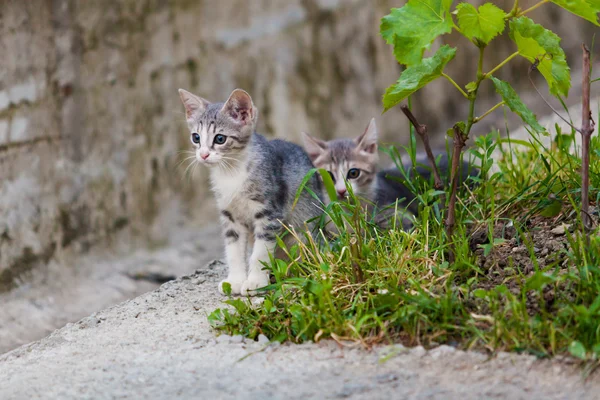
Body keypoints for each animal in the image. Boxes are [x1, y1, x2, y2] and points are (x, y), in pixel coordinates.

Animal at [179, 88, 324, 294]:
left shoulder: (270, 214)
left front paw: (255, 281)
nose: (204, 154)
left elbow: (260, 252)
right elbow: (233, 251)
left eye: (220, 139)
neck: (231, 174)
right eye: (196, 137)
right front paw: (235, 280)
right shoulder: (230, 216)